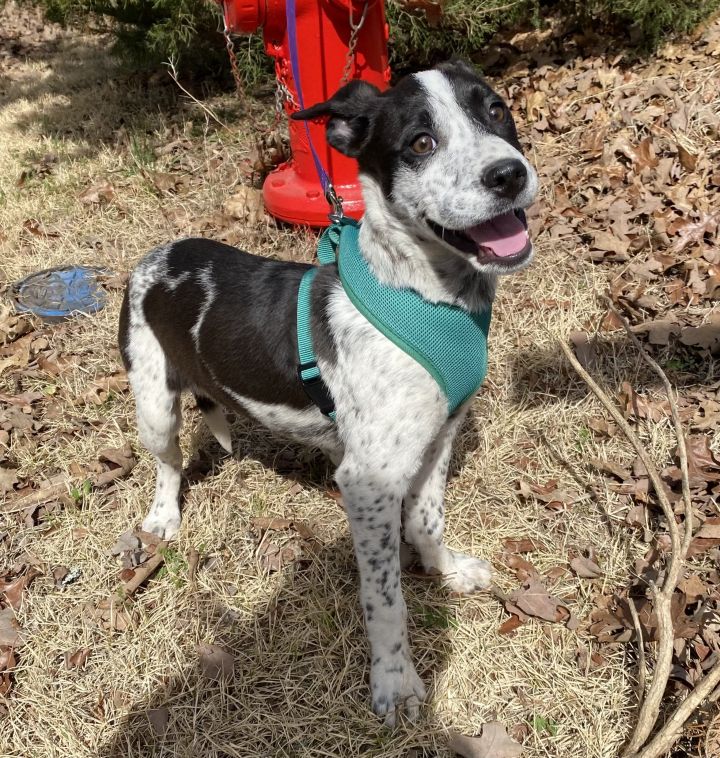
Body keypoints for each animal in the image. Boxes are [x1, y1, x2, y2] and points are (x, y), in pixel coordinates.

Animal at [118, 59, 536, 724]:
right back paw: (163, 516)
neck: (428, 298)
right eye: (421, 143)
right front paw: (394, 682)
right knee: (168, 461)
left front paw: (445, 572)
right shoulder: (367, 483)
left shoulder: (436, 442)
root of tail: (160, 253)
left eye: (497, 110)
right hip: (153, 399)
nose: (509, 173)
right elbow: (385, 598)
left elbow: (429, 521)